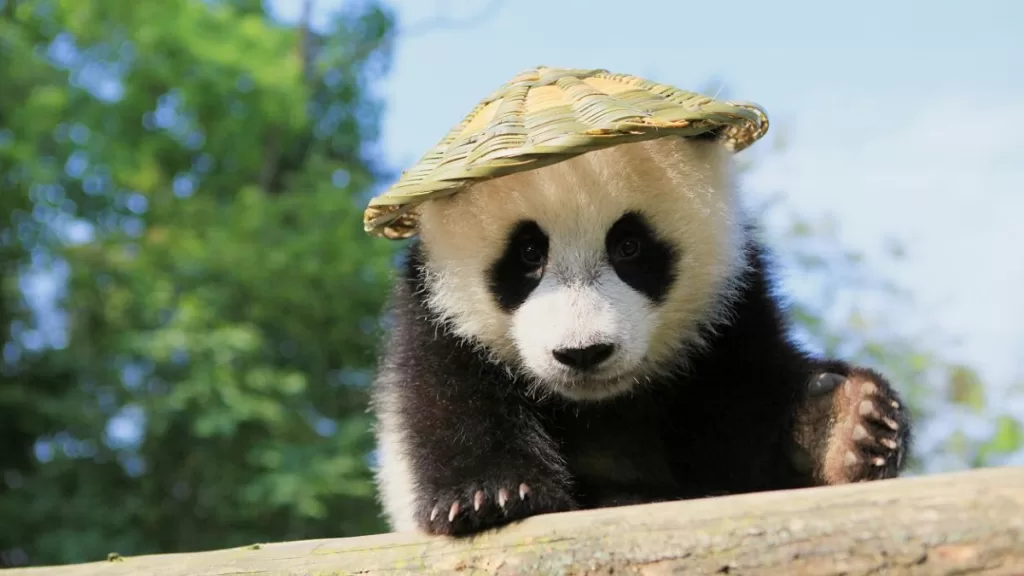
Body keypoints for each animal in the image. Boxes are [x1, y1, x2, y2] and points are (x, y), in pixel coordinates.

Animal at [369, 133, 912, 537]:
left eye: (629, 246)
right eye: (527, 253)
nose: (583, 354)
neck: (598, 405)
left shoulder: (730, 308)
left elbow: (744, 415)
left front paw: (842, 427)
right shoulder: (434, 312)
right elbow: (447, 398)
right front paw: (493, 494)